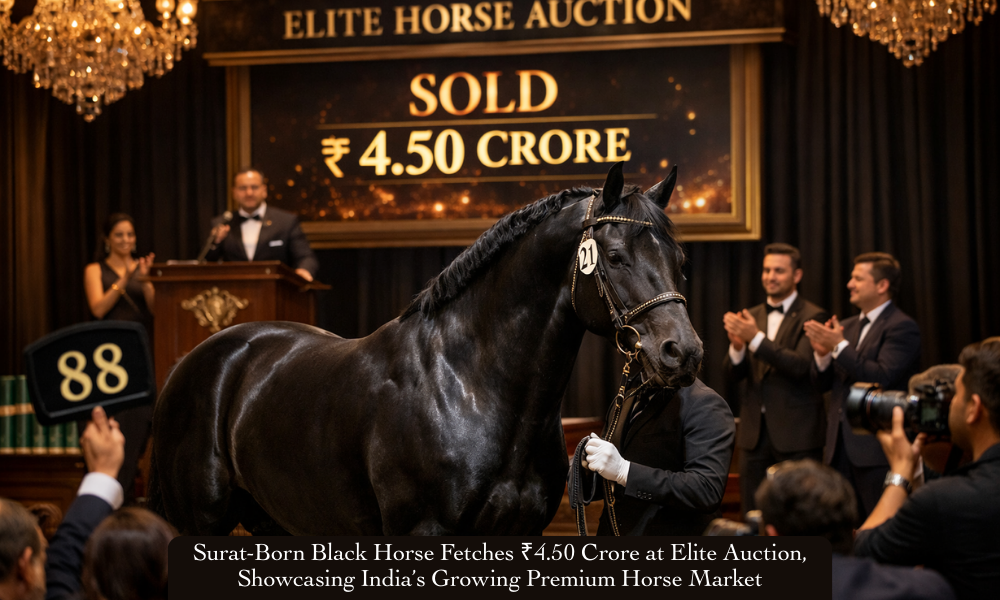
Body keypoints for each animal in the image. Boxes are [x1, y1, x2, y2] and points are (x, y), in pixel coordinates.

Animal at [148, 162, 704, 535]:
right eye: (615, 256)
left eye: (680, 260)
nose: (682, 352)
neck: (469, 386)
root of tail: (198, 361)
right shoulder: (424, 532)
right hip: (203, 522)